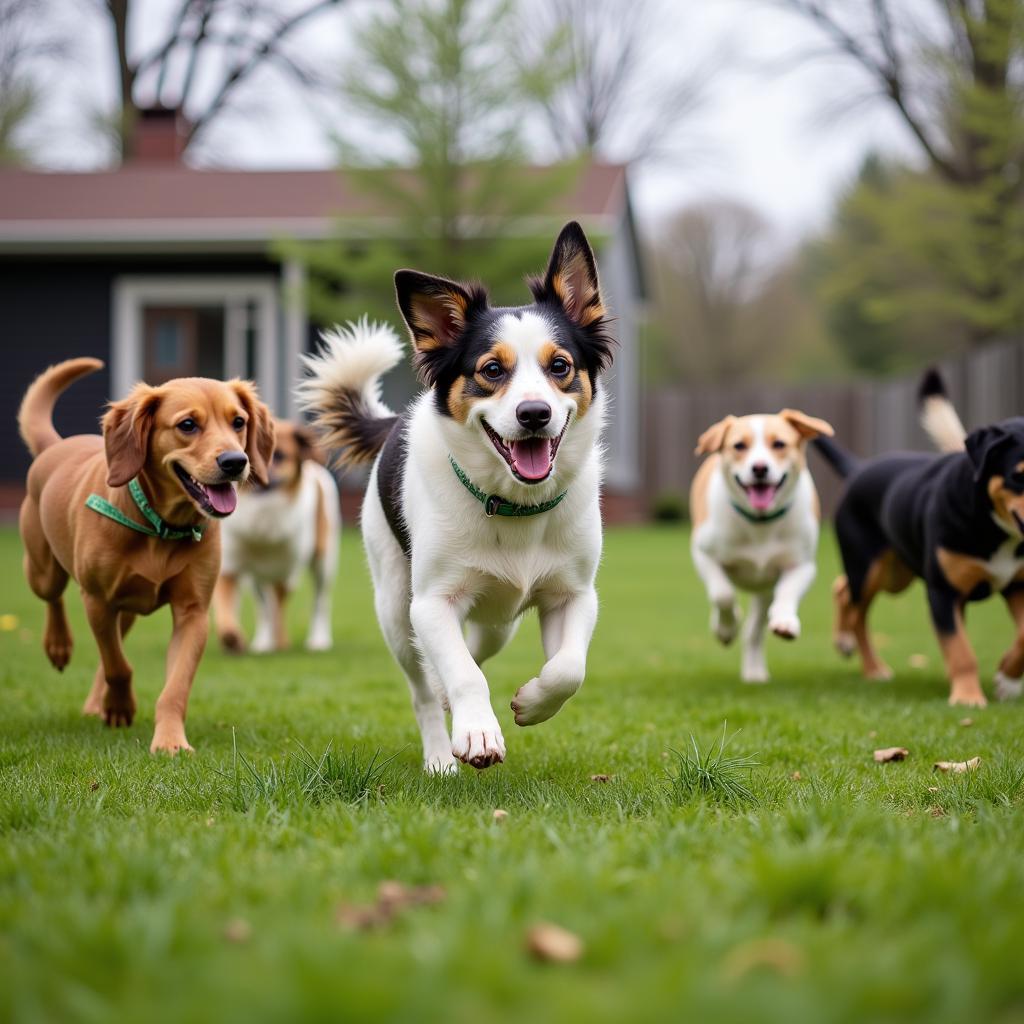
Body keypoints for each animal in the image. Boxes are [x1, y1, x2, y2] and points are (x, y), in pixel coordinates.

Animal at [19, 358, 276, 753]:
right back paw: (59, 645)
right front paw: (121, 706)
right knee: (54, 596)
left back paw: (96, 702)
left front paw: (170, 740)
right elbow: (117, 666)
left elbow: (174, 687)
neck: (161, 527)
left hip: (126, 612)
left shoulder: (193, 612)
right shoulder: (98, 601)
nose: (236, 461)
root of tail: (55, 446)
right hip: (44, 570)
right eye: (187, 425)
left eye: (238, 422)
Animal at [211, 419, 339, 651]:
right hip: (257, 577)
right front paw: (232, 636)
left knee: (320, 600)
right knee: (263, 604)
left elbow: (278, 607)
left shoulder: (284, 570)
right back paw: (263, 640)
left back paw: (318, 639)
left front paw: (280, 642)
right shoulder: (230, 566)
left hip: (323, 561)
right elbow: (227, 605)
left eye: (279, 456)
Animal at [692, 405, 835, 679]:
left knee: (754, 630)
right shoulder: (703, 554)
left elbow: (787, 592)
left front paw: (785, 621)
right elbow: (722, 594)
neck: (759, 524)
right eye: (739, 446)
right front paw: (725, 629)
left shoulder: (802, 565)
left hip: (765, 588)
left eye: (779, 444)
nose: (759, 468)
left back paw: (754, 671)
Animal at [815, 372, 1024, 708]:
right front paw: (967, 698)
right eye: (1018, 475)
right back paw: (869, 664)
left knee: (842, 588)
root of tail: (860, 468)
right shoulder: (942, 592)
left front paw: (1007, 678)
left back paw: (847, 643)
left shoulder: (1018, 585)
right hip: (869, 568)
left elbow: (1022, 637)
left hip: (895, 575)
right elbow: (961, 651)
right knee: (857, 612)